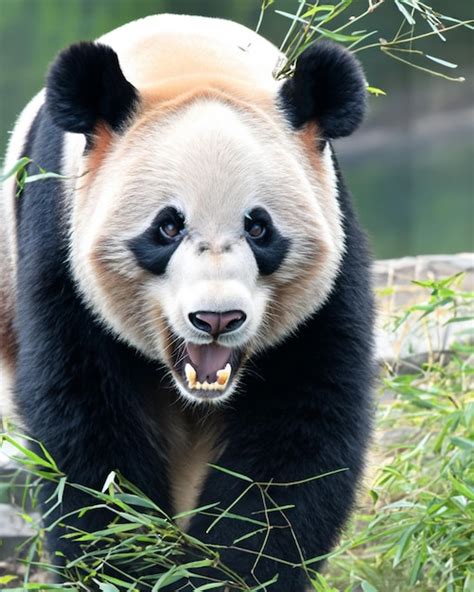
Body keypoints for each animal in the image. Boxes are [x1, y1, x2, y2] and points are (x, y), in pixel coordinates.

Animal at [0, 11, 372, 588]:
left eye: (259, 228)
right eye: (168, 227)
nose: (216, 318)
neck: (191, 62)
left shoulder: (330, 239)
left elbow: (299, 430)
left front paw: (229, 569)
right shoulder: (58, 232)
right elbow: (88, 432)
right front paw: (134, 564)